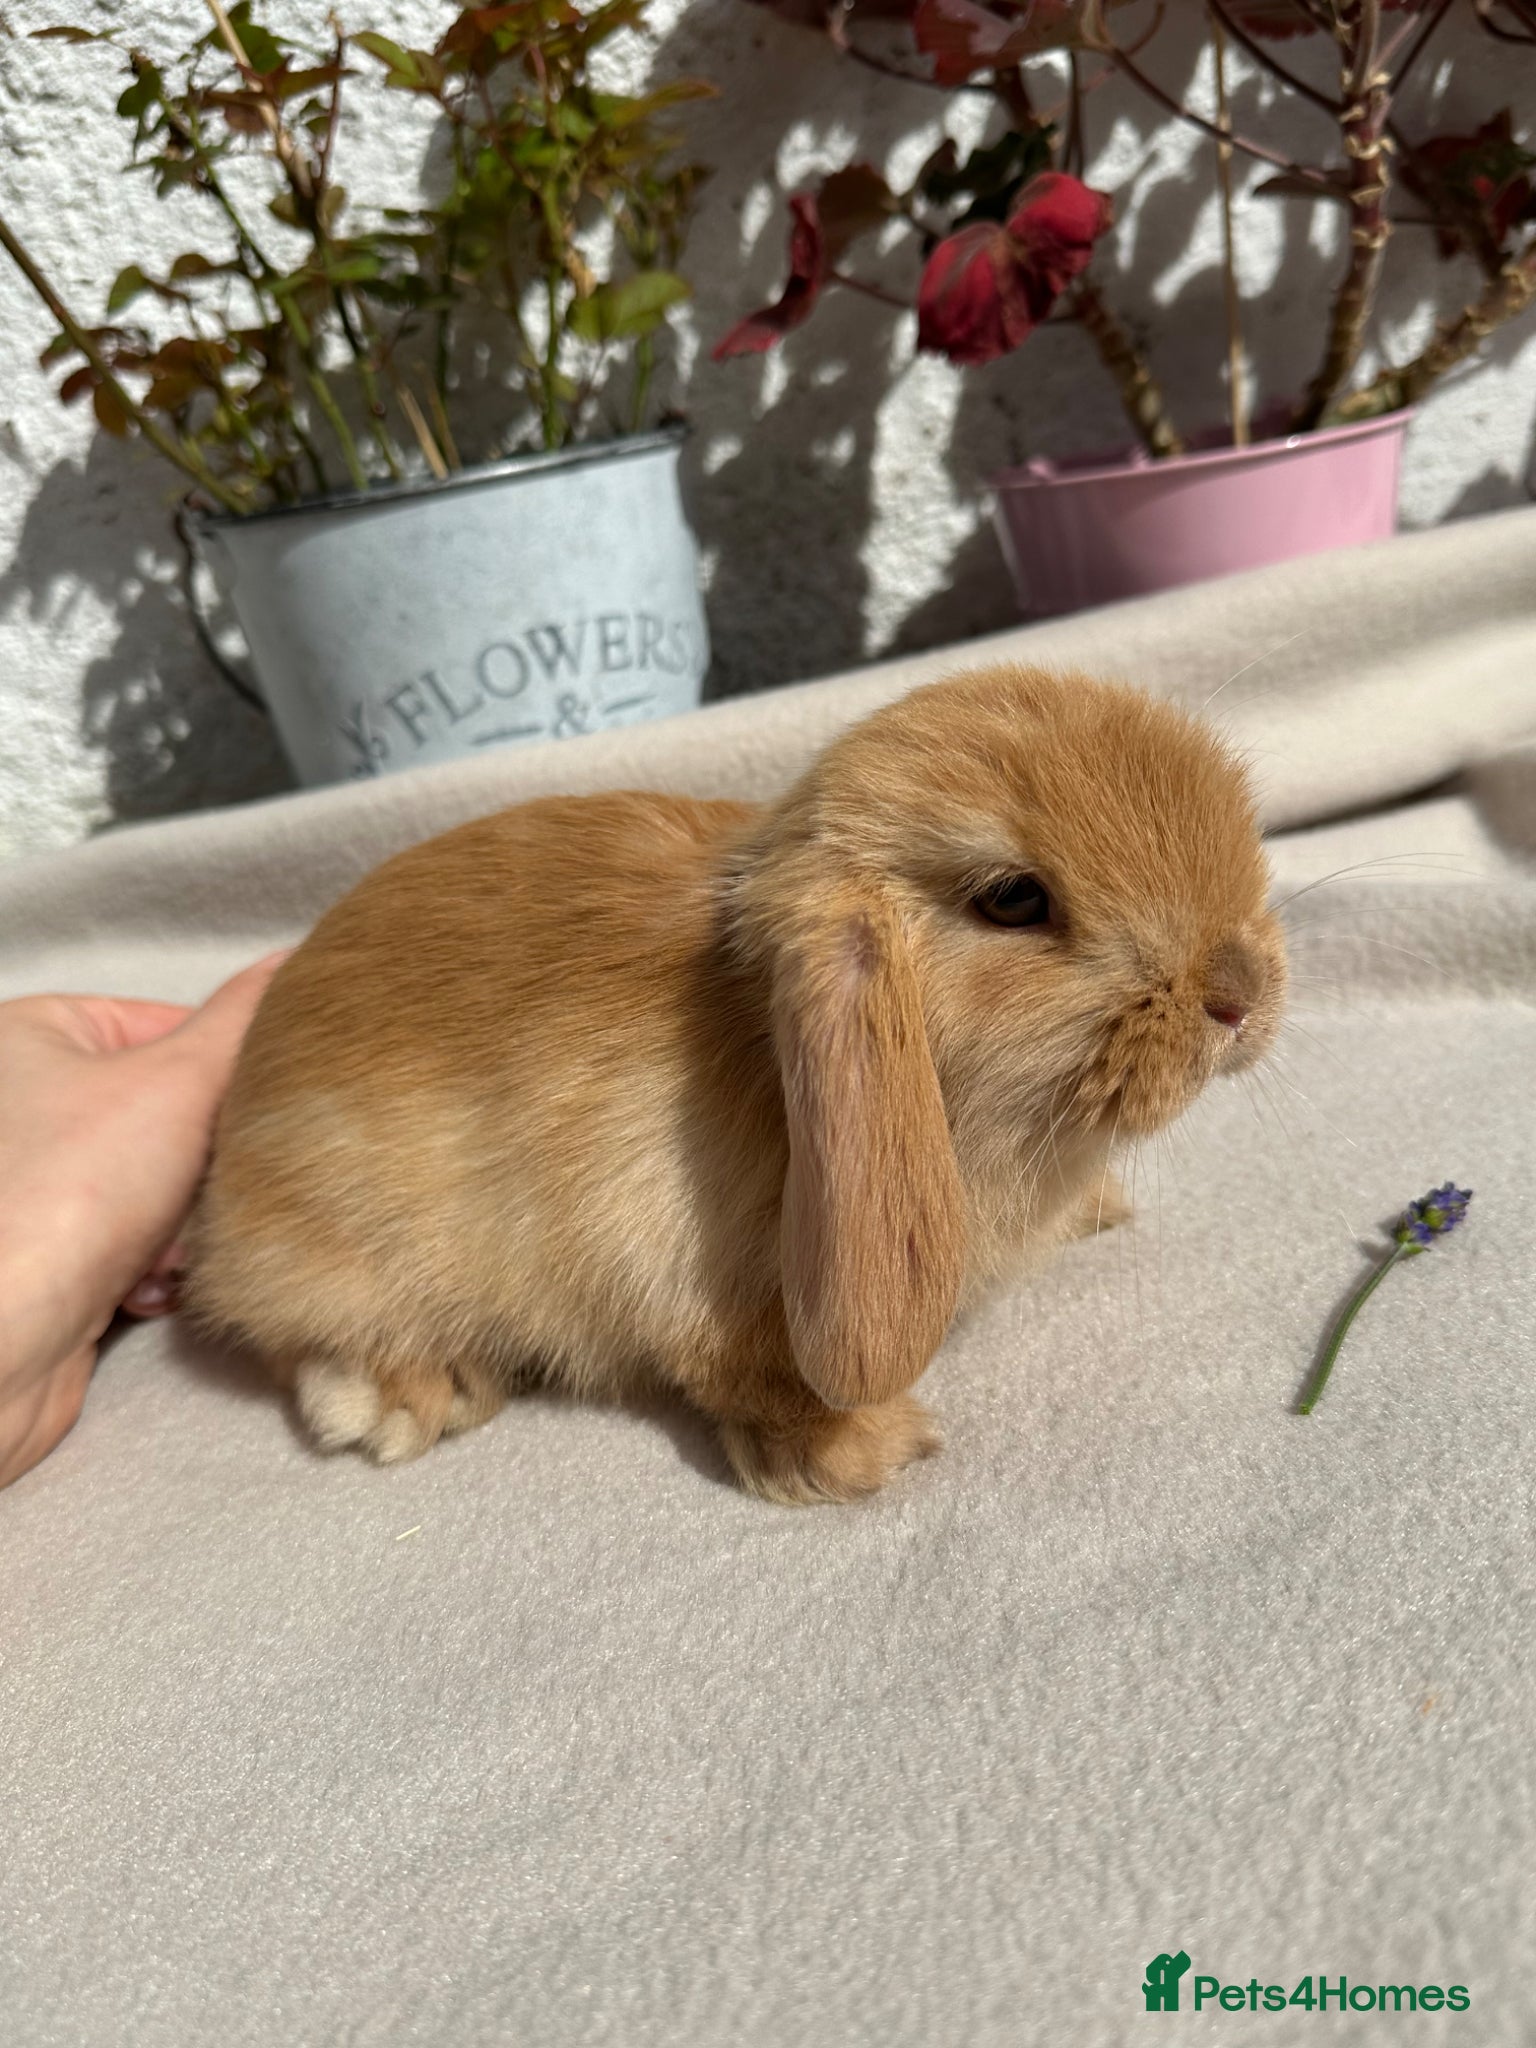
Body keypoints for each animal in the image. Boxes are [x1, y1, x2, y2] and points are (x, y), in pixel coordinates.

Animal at [185, 663, 1286, 1504]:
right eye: (1014, 899)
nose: (1237, 994)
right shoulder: (672, 1257)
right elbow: (739, 1365)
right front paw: (862, 1453)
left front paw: (1102, 1208)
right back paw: (406, 1396)